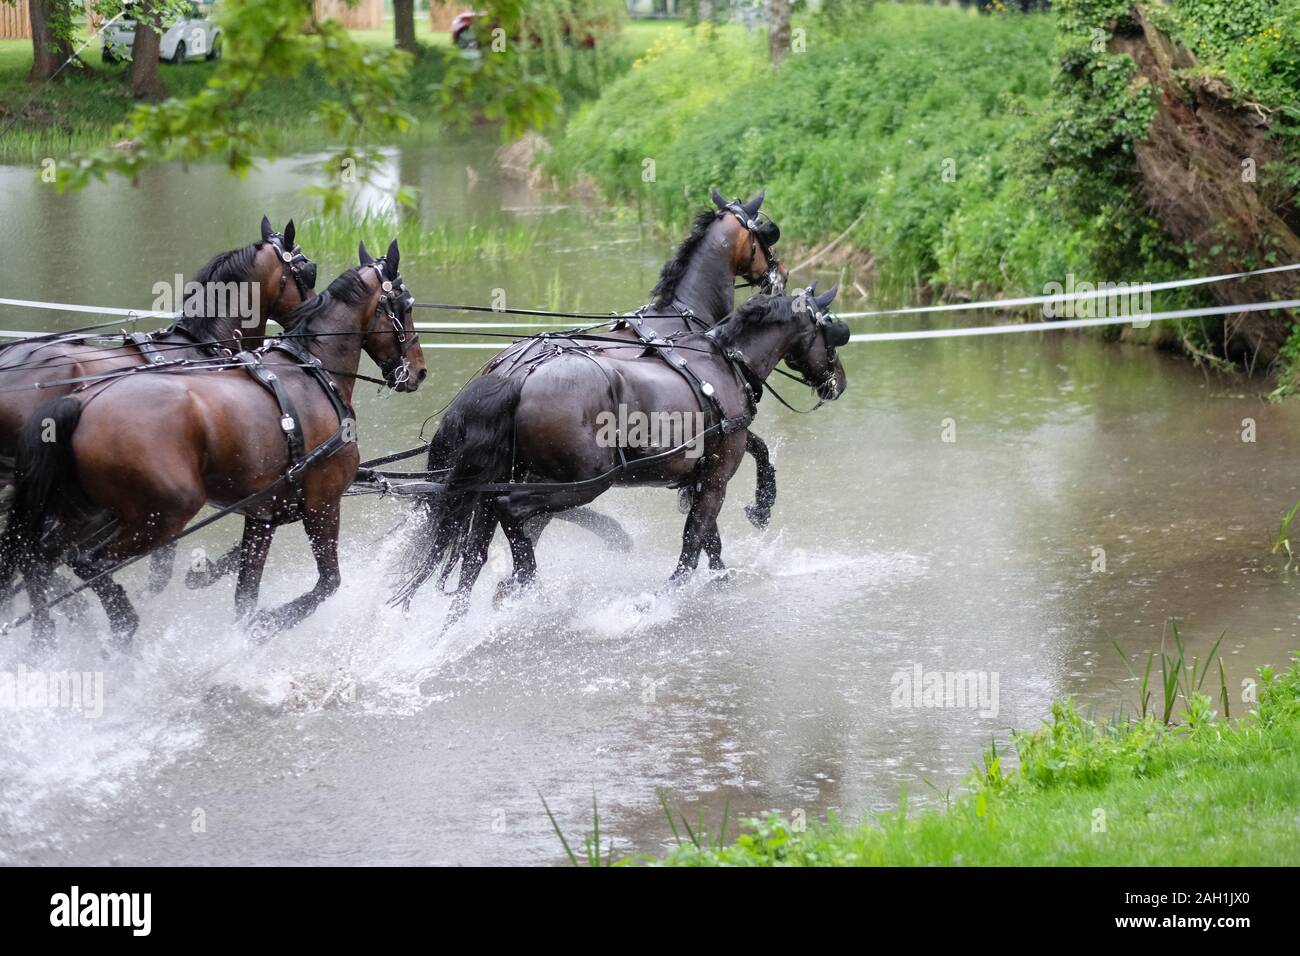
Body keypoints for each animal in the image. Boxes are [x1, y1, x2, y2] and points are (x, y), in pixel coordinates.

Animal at [1, 241, 425, 648]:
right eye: (405, 305)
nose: (420, 371)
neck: (310, 368)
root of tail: (82, 403)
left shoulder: (264, 514)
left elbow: (245, 595)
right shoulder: (323, 503)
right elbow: (327, 584)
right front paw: (265, 625)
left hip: (80, 509)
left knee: (38, 555)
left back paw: (50, 635)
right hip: (163, 514)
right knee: (84, 559)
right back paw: (118, 625)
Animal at [393, 284, 847, 630]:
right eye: (832, 330)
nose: (838, 382)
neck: (720, 363)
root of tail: (517, 375)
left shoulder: (700, 476)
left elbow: (711, 534)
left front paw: (724, 571)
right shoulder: (717, 476)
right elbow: (694, 539)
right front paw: (666, 596)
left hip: (508, 477)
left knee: (478, 545)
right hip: (585, 482)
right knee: (513, 511)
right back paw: (526, 584)